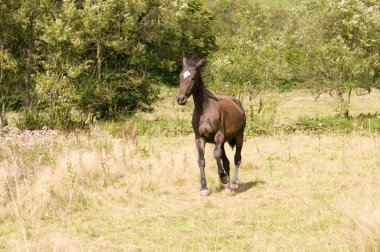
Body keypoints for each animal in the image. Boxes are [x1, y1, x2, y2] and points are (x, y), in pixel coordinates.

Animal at [176, 58, 246, 196]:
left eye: (193, 77)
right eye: (181, 76)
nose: (180, 99)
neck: (204, 111)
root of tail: (237, 102)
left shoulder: (219, 135)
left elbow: (216, 155)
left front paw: (223, 177)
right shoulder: (199, 138)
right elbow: (201, 160)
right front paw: (204, 187)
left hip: (239, 136)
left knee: (237, 158)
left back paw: (233, 182)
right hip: (223, 142)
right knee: (226, 161)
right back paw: (228, 185)